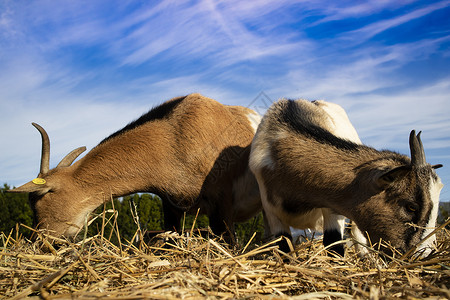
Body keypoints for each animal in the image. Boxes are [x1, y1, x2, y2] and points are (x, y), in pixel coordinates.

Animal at [250, 98, 442, 255]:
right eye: (411, 207)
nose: (425, 253)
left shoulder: (333, 206)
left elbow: (334, 244)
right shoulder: (271, 210)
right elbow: (284, 249)